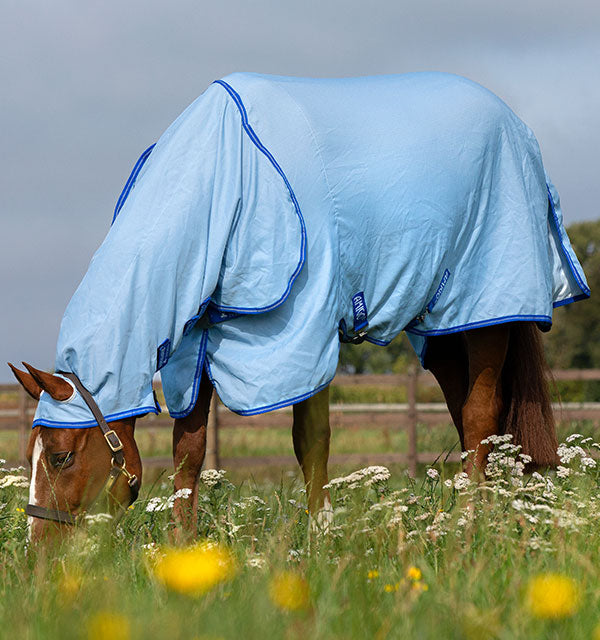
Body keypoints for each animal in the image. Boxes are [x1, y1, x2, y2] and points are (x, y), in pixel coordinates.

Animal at [9, 72, 589, 542]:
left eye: (61, 456)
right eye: (30, 456)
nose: (40, 558)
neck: (228, 175)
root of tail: (516, 126)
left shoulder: (303, 331)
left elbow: (310, 440)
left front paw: (320, 538)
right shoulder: (192, 342)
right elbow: (188, 453)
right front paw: (183, 550)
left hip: (486, 310)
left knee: (479, 414)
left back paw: (468, 527)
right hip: (442, 329)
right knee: (471, 419)